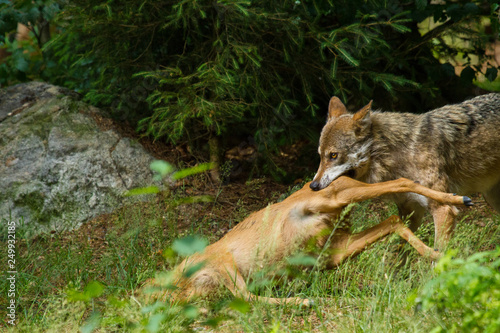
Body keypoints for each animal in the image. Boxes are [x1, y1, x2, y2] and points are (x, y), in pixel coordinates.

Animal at [310, 92, 498, 246]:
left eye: (333, 155)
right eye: (320, 156)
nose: (313, 186)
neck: (398, 154)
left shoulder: (444, 210)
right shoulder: (410, 212)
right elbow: (400, 252)